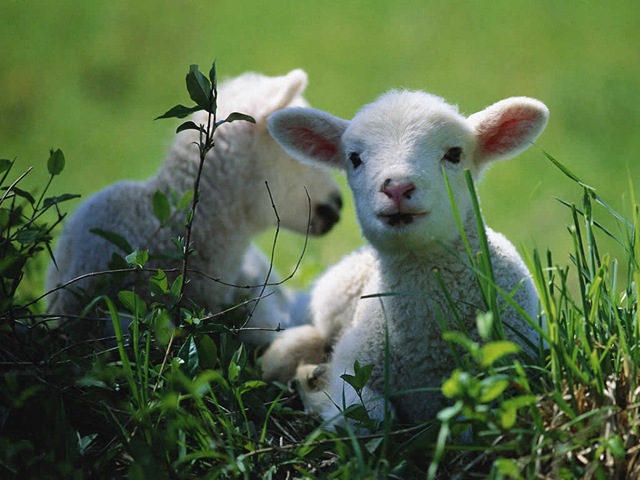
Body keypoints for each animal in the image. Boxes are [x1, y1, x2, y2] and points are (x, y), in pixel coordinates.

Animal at [262, 89, 548, 426]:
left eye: (454, 154)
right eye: (354, 158)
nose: (397, 187)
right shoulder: (352, 365)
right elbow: (370, 414)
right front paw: (317, 391)